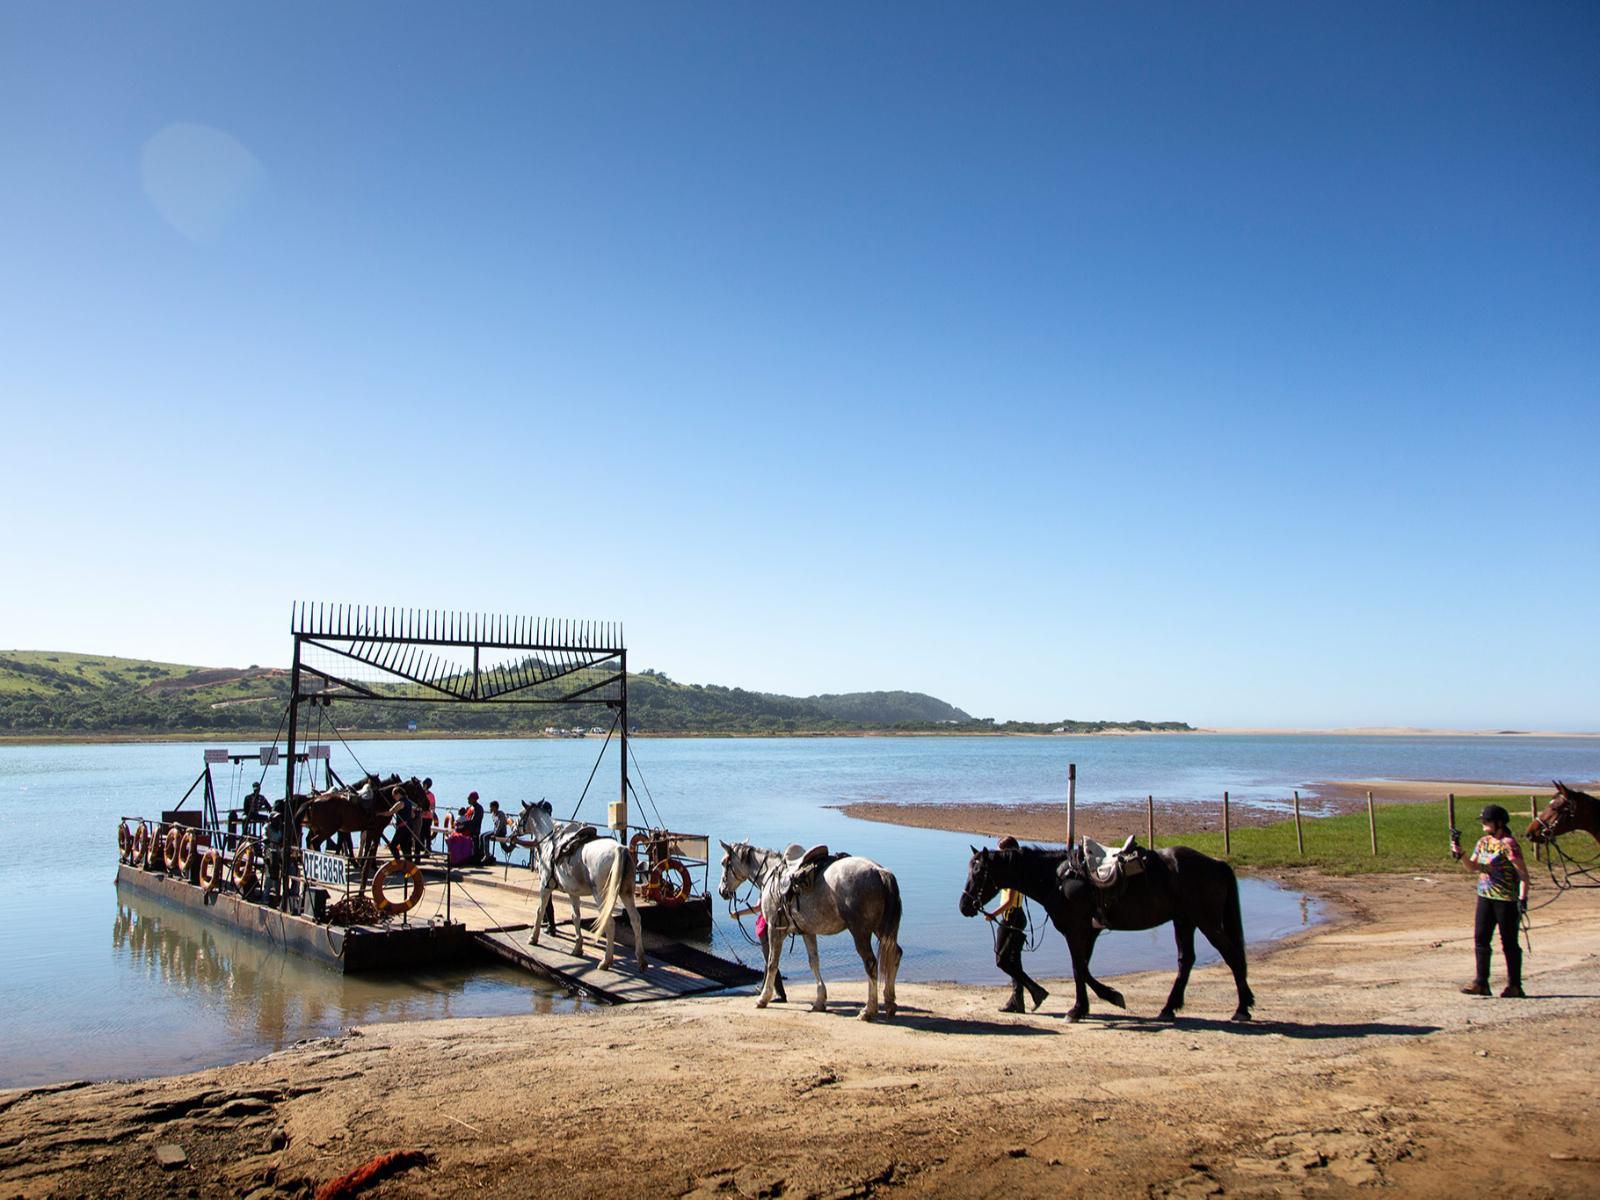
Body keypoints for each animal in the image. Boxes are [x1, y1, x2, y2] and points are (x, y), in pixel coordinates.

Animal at [518, 803, 643, 972]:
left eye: (520, 815)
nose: (514, 827)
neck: (548, 843)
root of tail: (620, 849)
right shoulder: (573, 893)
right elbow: (575, 917)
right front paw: (578, 948)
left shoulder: (544, 887)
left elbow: (540, 910)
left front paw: (533, 937)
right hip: (626, 892)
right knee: (635, 919)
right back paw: (641, 961)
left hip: (601, 896)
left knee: (609, 923)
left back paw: (606, 961)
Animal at [723, 838, 908, 1017]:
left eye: (724, 863)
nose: (721, 890)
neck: (770, 876)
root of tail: (880, 871)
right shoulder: (807, 931)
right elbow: (814, 962)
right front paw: (820, 1000)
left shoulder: (775, 929)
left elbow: (772, 963)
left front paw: (763, 998)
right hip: (882, 930)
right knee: (895, 953)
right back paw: (890, 1002)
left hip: (860, 932)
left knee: (870, 963)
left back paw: (869, 1010)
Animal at [953, 844, 1254, 1024]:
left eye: (978, 872)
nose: (964, 905)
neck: (1057, 879)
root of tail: (1217, 864)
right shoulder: (1089, 932)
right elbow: (1084, 968)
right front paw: (1099, 1000)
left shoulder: (1075, 930)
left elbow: (1078, 968)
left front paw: (1080, 1008)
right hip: (1184, 921)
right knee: (1186, 961)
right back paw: (1168, 1009)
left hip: (1206, 921)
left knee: (1232, 956)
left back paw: (1241, 1009)